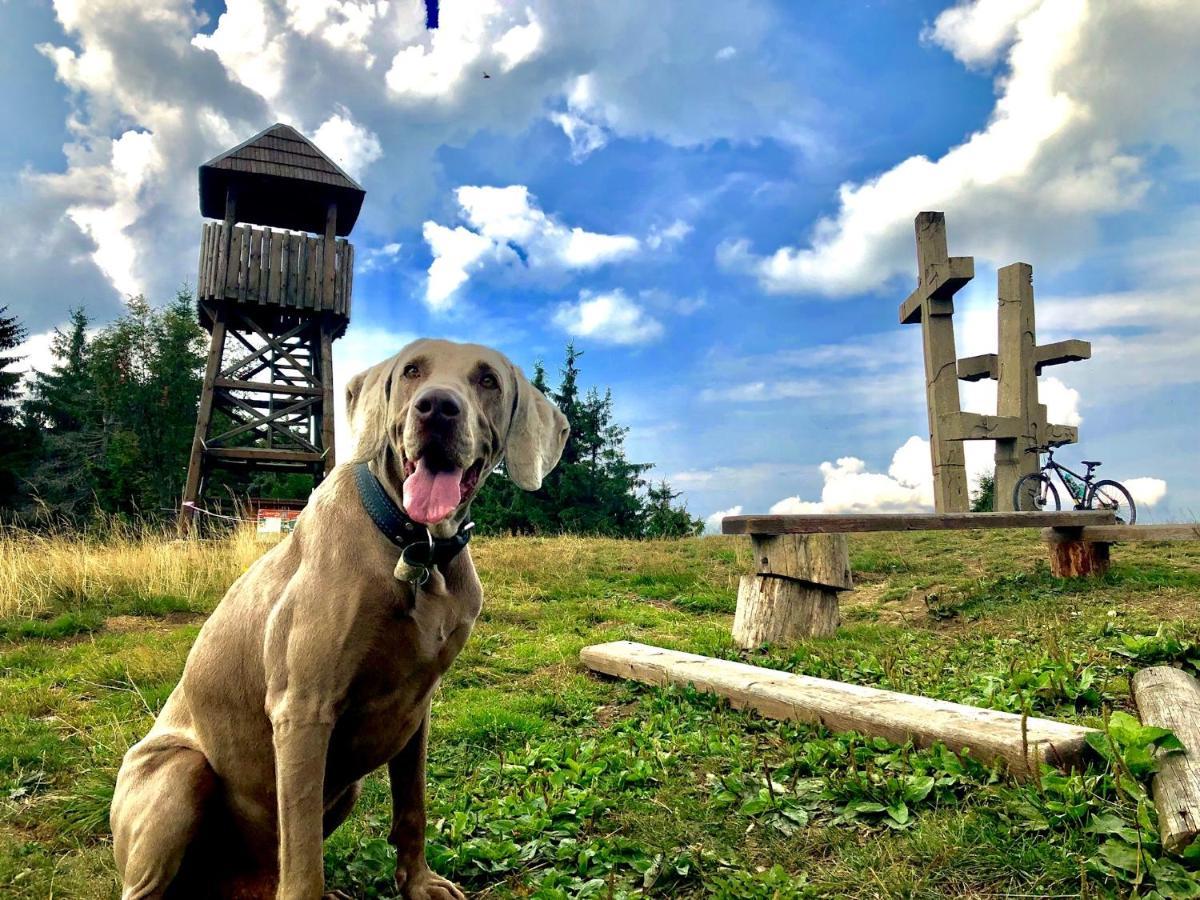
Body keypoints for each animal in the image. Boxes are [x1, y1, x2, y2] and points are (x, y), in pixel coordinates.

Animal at [108, 340, 566, 897]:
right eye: (412, 371)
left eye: (488, 380)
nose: (436, 408)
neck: (417, 549)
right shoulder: (303, 708)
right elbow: (303, 850)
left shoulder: (418, 705)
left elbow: (412, 804)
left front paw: (419, 882)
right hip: (180, 770)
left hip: (347, 788)